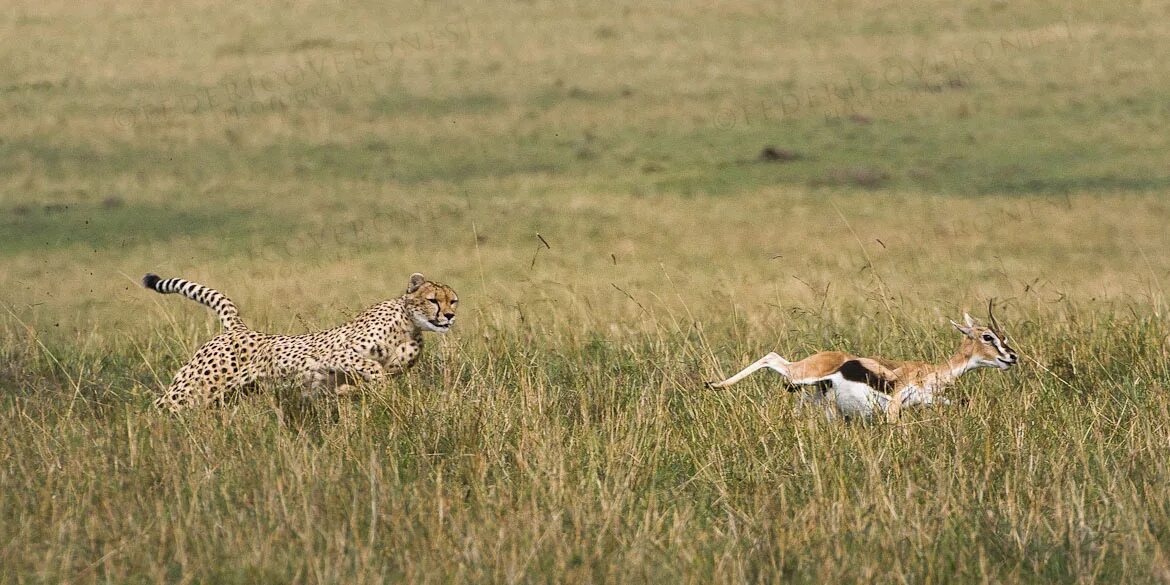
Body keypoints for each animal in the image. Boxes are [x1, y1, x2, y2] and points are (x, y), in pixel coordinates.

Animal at [141, 270, 456, 411]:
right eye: (433, 300)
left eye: (453, 300)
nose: (450, 316)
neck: (408, 325)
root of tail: (239, 329)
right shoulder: (335, 354)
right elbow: (371, 366)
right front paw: (373, 384)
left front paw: (356, 392)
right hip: (195, 387)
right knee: (161, 404)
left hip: (231, 394)